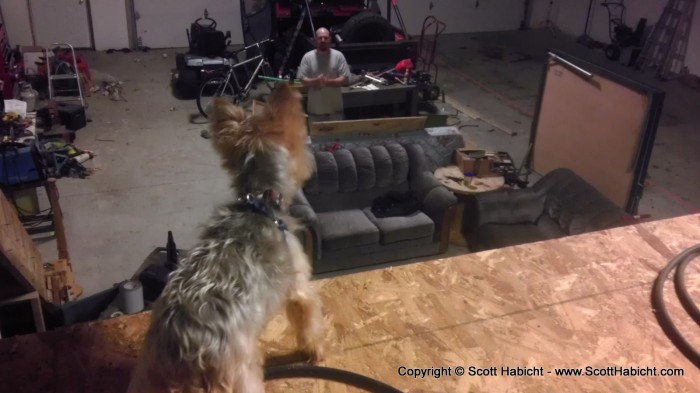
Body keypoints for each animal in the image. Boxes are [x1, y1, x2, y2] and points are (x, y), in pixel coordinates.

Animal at [128, 83, 322, 392]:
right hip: (242, 377)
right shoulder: (298, 286)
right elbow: (307, 318)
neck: (259, 200)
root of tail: (186, 355)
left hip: (148, 374)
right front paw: (314, 351)